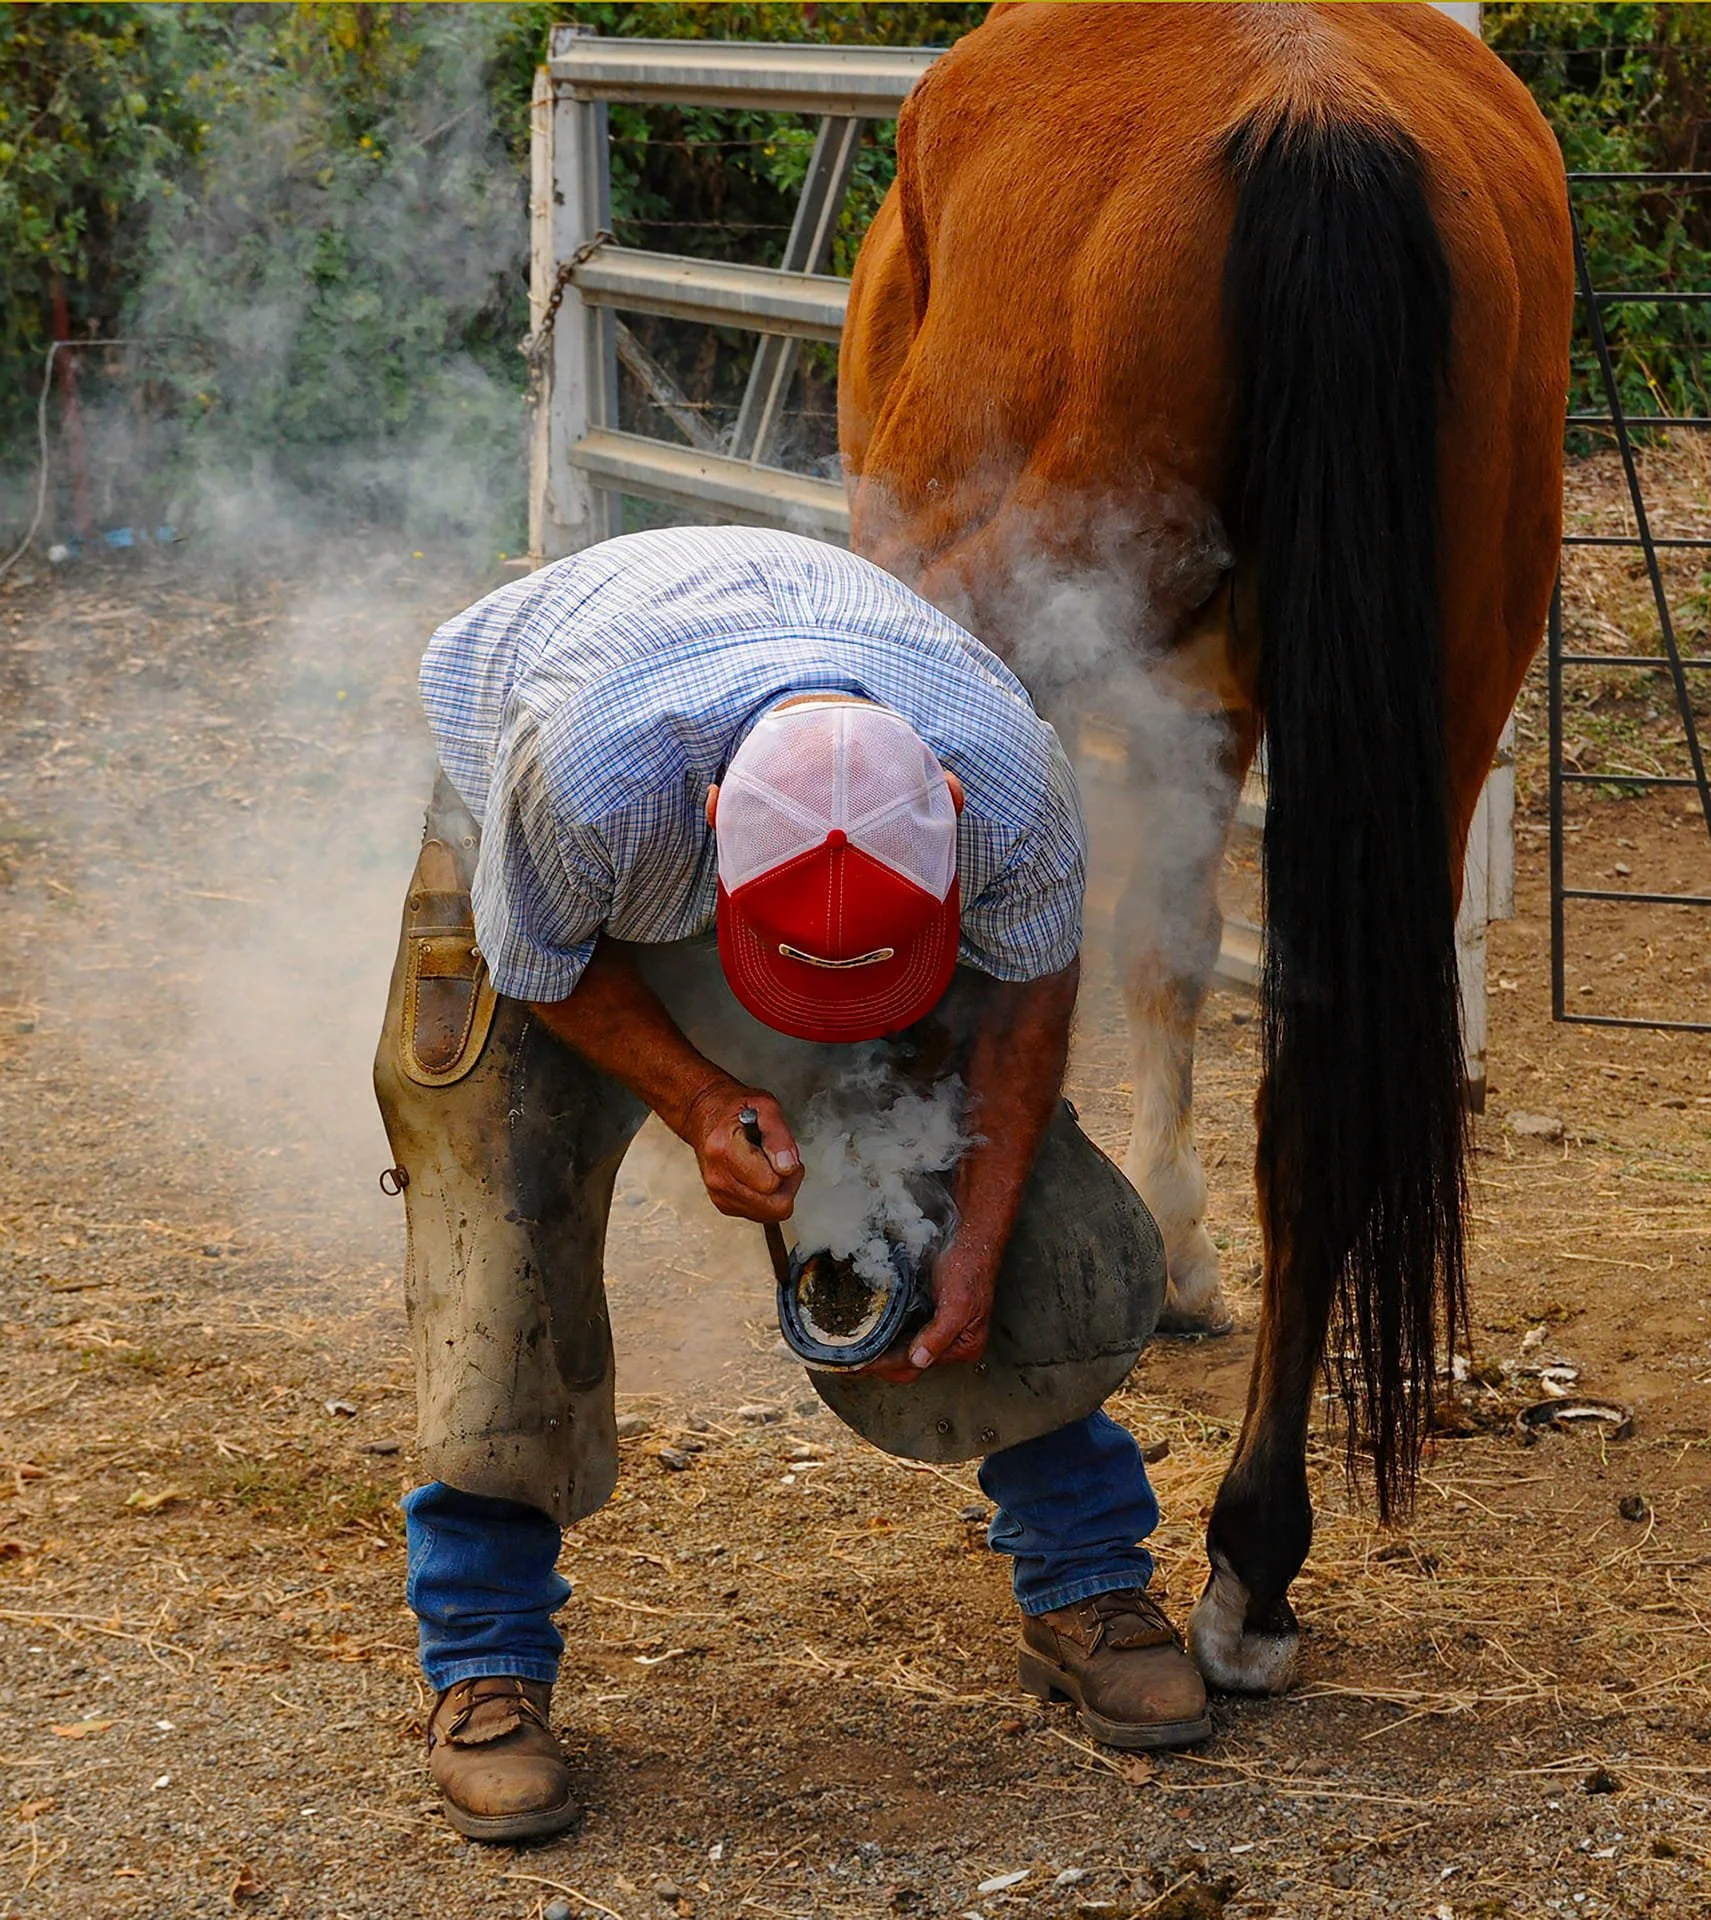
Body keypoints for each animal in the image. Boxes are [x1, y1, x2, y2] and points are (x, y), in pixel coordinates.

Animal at [838, 0, 1571, 1692]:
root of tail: (1312, 125)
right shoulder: (1211, 705)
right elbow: (1168, 950)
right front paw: (1174, 1255)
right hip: (1442, 685)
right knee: (1310, 1114)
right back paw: (1250, 1564)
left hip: (1008, 610)